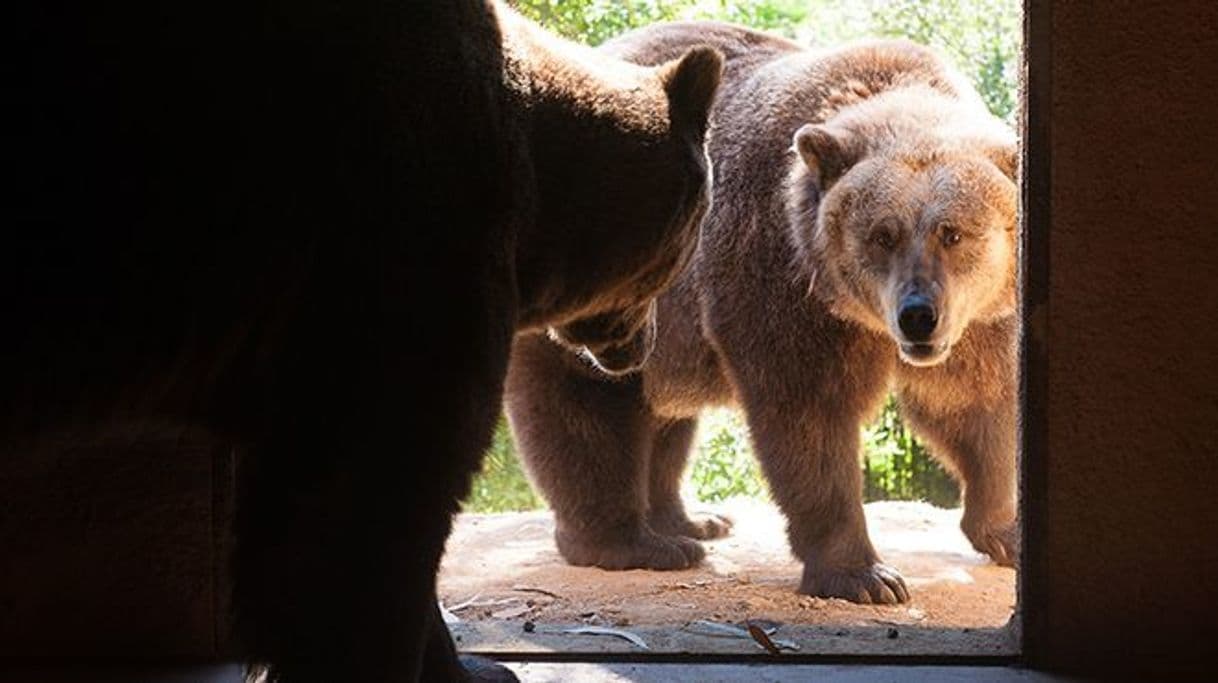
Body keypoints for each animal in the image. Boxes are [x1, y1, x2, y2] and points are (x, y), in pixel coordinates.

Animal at [504, 21, 1018, 603]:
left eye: (952, 233)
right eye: (882, 235)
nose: (916, 315)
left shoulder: (977, 317)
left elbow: (973, 402)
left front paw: (1004, 529)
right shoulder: (783, 278)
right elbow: (808, 416)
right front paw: (864, 575)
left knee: (665, 418)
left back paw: (691, 519)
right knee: (585, 409)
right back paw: (637, 543)